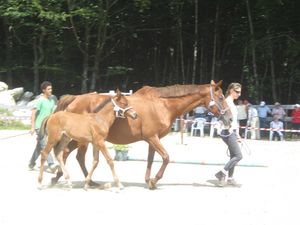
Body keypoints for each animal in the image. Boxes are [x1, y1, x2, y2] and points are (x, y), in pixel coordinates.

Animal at [52, 80, 231, 189]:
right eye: (221, 97)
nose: (229, 118)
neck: (163, 105)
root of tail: (74, 99)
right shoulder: (153, 138)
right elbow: (166, 157)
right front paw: (154, 180)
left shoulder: (152, 139)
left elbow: (151, 159)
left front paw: (148, 181)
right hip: (81, 139)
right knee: (67, 153)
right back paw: (62, 177)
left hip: (84, 139)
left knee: (76, 156)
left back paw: (87, 180)